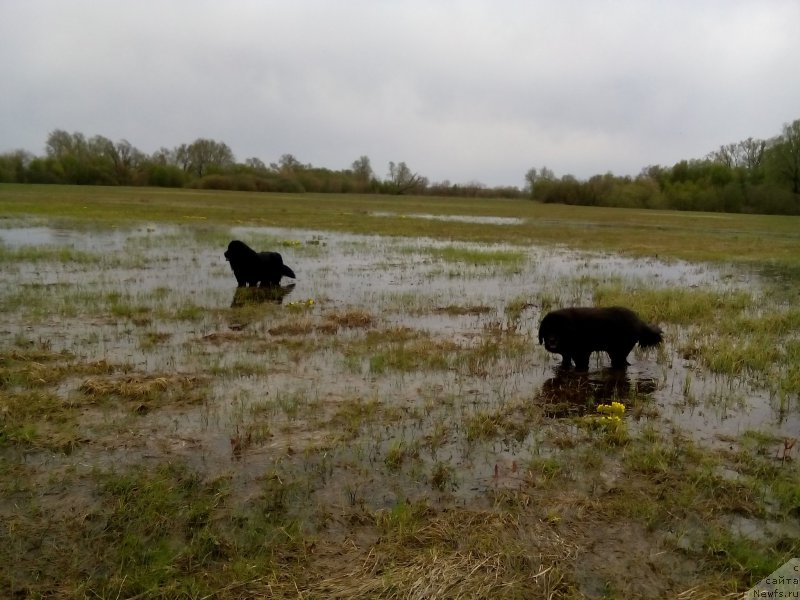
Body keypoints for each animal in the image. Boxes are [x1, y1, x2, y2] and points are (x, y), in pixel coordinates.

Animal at [536, 310, 664, 370]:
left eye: (558, 329)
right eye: (547, 330)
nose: (552, 341)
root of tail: (639, 323)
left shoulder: (582, 354)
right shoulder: (568, 354)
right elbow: (566, 362)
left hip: (618, 352)